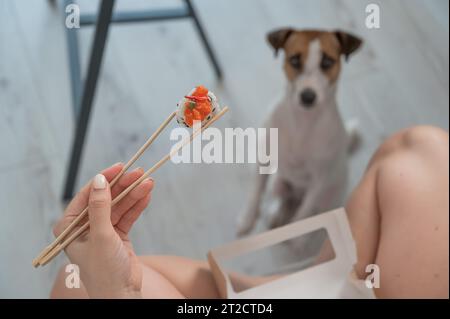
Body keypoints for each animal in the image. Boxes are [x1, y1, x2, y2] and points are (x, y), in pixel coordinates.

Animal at [239, 28, 362, 238]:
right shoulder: (262, 161)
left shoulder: (318, 182)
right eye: (295, 60)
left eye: (327, 62)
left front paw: (295, 236)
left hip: (326, 199)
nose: (307, 97)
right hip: (278, 183)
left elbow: (303, 213)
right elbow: (254, 193)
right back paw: (276, 214)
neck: (303, 122)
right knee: (283, 199)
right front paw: (246, 220)